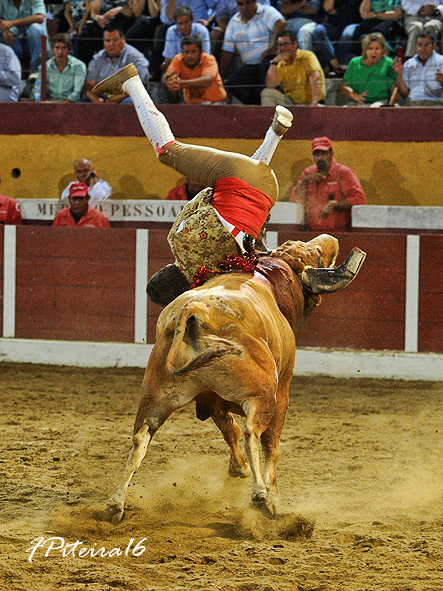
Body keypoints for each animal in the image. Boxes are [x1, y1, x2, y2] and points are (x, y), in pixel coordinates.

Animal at [104, 234, 366, 524]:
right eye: (316, 254)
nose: (330, 240)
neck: (273, 274)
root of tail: (195, 310)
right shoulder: (282, 391)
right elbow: (269, 444)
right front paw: (271, 493)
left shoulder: (212, 399)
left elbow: (229, 428)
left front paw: (238, 468)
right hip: (263, 394)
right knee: (253, 432)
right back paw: (263, 497)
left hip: (154, 397)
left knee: (140, 438)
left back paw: (116, 504)